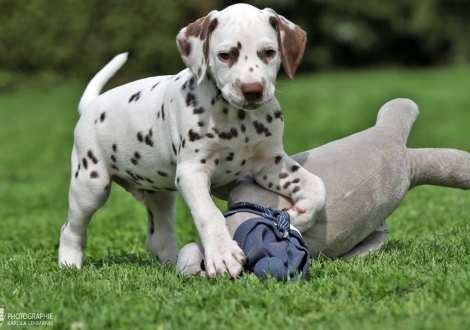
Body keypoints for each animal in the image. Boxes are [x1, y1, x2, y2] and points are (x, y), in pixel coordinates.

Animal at [58, 4, 326, 278]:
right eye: (225, 55)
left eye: (269, 52)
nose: (252, 90)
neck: (238, 120)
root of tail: (91, 105)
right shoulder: (192, 172)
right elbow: (208, 213)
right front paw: (222, 254)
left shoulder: (270, 163)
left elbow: (317, 186)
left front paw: (299, 216)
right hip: (91, 184)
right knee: (71, 229)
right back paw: (69, 264)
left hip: (160, 193)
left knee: (158, 236)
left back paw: (173, 262)